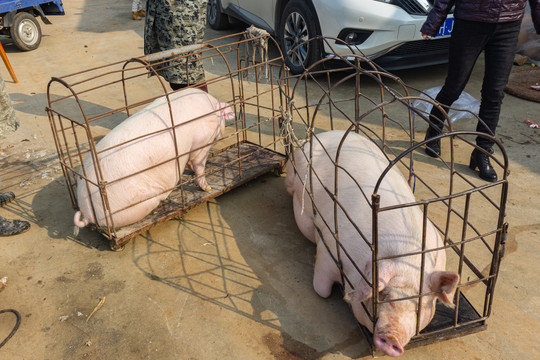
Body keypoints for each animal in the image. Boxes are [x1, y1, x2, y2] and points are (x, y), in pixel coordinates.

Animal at [284, 130, 458, 358]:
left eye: (418, 306)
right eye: (384, 295)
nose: (392, 338)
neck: (409, 257)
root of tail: (315, 136)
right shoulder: (328, 250)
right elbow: (321, 289)